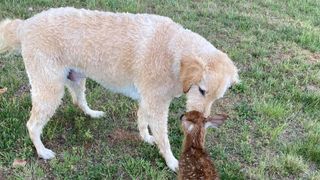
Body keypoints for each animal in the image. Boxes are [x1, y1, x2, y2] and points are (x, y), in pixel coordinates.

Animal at [0, 7, 239, 172]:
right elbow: (164, 138)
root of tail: (25, 24)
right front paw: (172, 162)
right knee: (32, 125)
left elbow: (142, 120)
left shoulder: (148, 100)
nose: (203, 121)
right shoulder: (157, 104)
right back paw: (42, 152)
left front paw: (146, 138)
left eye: (217, 98)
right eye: (201, 91)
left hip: (76, 78)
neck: (174, 51)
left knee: (78, 101)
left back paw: (92, 113)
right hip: (50, 90)